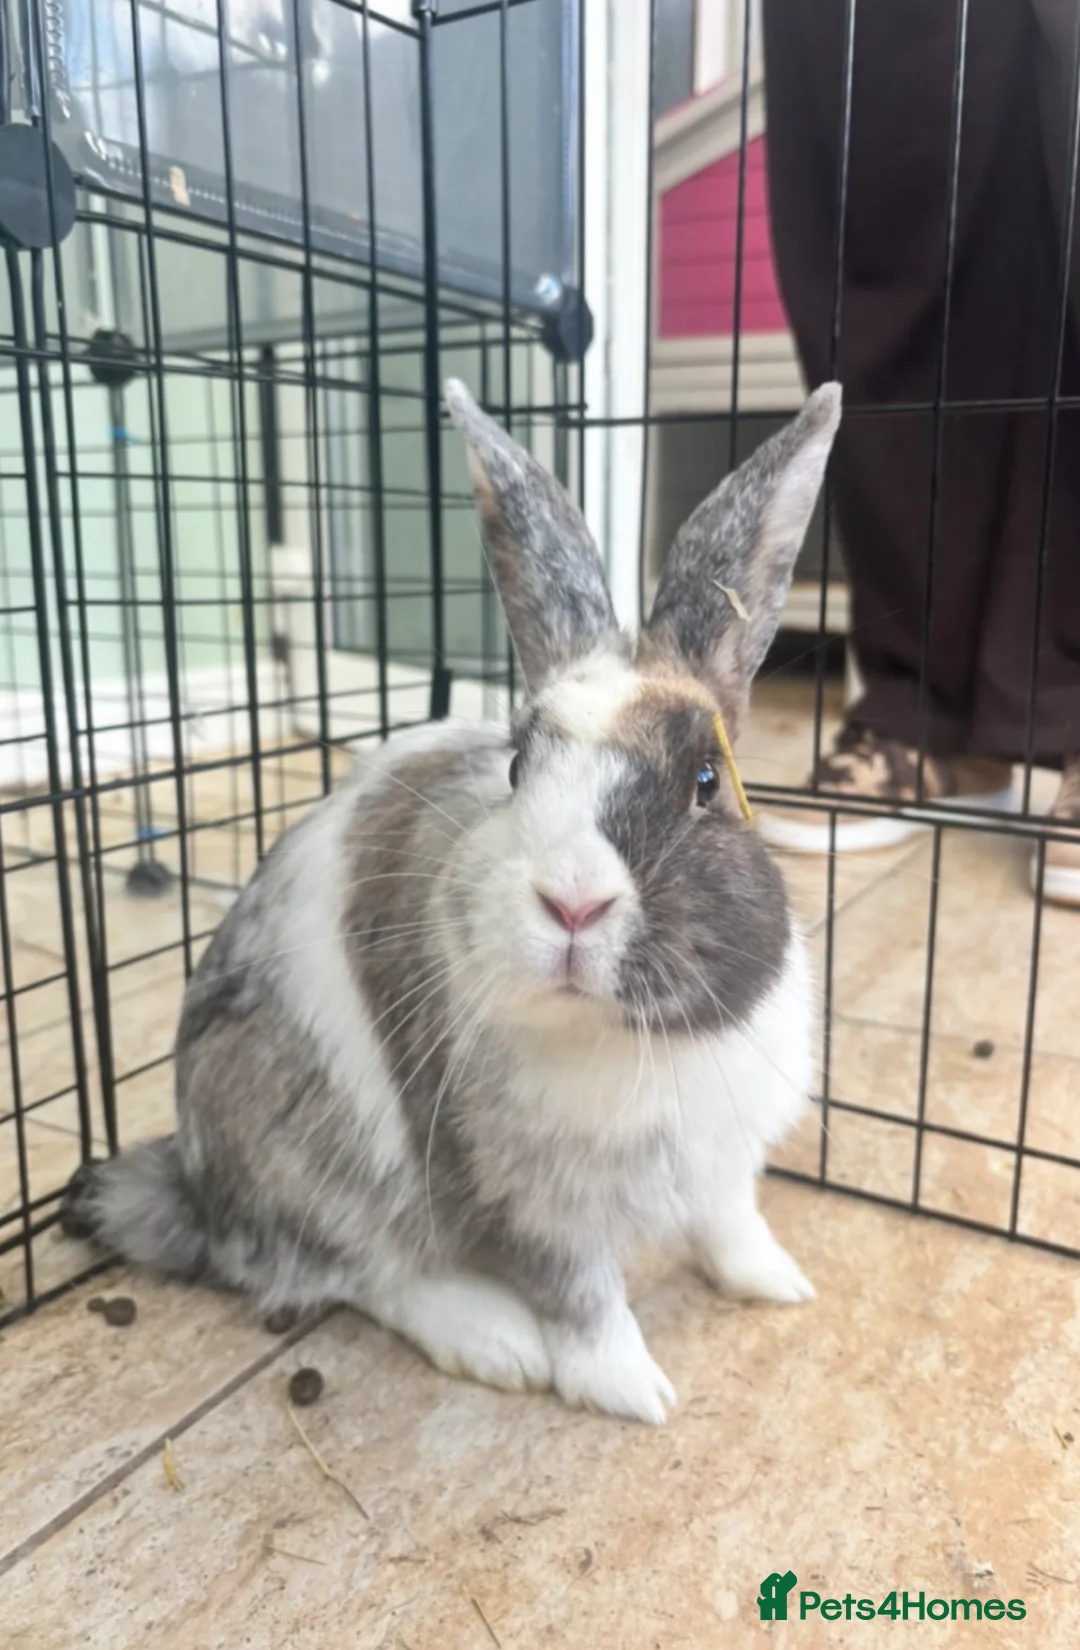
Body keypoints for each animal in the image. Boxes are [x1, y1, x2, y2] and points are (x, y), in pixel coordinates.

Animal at [61, 377, 841, 1425]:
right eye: (517, 769)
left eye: (707, 781)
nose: (573, 903)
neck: (621, 1037)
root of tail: (194, 1190)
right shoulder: (531, 1202)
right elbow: (580, 1297)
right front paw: (631, 1392)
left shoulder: (723, 1155)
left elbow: (730, 1223)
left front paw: (775, 1281)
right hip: (321, 1157)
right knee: (350, 1271)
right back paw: (494, 1340)